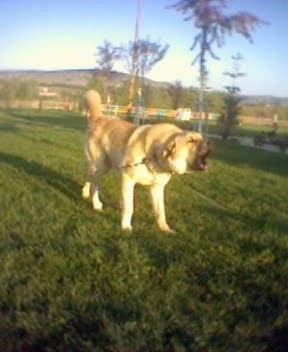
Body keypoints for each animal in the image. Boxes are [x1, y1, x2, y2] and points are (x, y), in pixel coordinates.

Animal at [81, 89, 212, 232]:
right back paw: (96, 204)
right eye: (191, 141)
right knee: (94, 185)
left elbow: (160, 212)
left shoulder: (157, 188)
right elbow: (129, 207)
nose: (210, 143)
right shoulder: (128, 179)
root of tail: (99, 118)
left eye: (201, 138)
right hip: (101, 166)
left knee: (89, 177)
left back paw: (85, 193)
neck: (154, 155)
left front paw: (165, 229)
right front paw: (126, 226)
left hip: (102, 166)